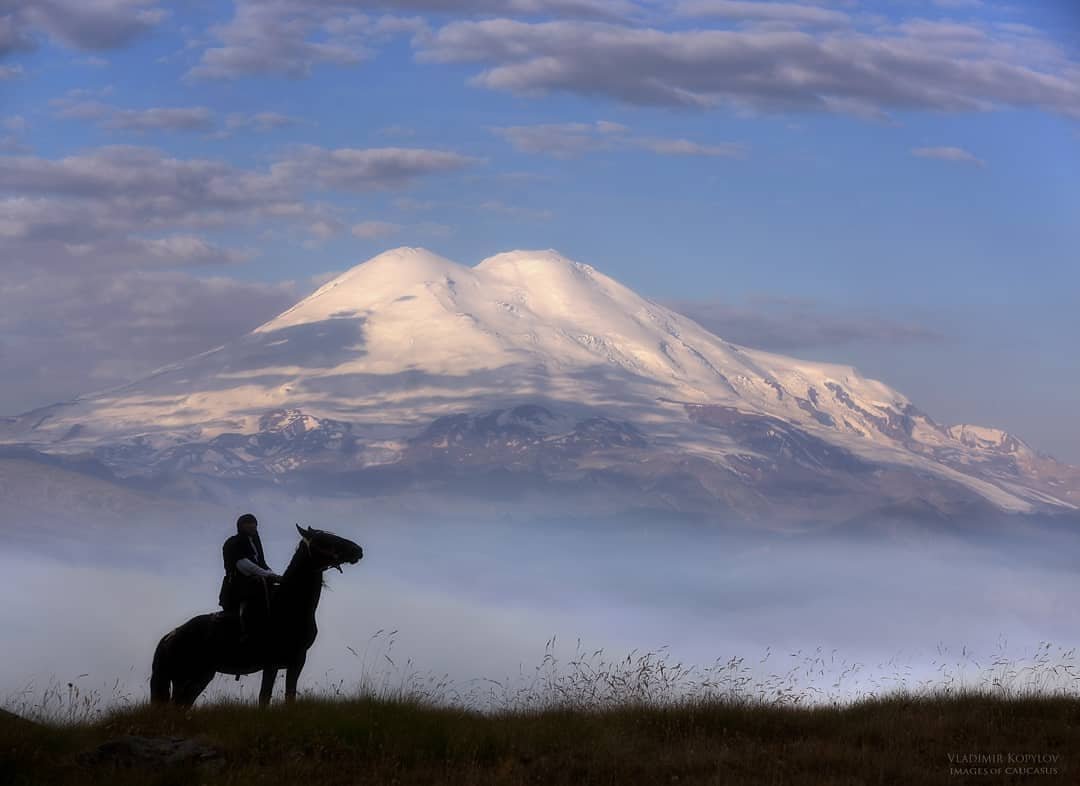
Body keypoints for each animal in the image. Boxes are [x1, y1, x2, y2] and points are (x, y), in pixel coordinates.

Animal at [150, 524, 363, 706]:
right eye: (324, 540)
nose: (357, 550)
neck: (288, 607)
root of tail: (169, 637)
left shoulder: (296, 661)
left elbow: (289, 696)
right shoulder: (271, 664)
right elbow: (264, 697)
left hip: (195, 677)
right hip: (191, 676)